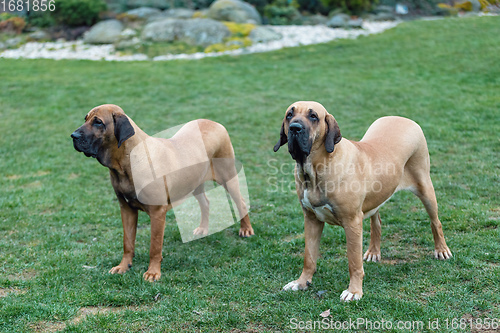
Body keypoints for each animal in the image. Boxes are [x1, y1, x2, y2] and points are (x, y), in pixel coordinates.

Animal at [70, 104, 254, 280]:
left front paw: (153, 272)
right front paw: (123, 266)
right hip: (194, 182)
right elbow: (127, 242)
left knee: (241, 202)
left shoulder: (157, 212)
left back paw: (246, 229)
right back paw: (203, 228)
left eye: (98, 122)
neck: (126, 161)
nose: (73, 136)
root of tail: (215, 123)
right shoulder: (126, 209)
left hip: (228, 176)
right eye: (85, 119)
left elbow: (155, 246)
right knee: (205, 203)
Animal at [274, 101, 454, 300]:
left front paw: (354, 291)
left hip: (425, 187)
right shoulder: (311, 219)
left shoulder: (352, 222)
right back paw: (374, 251)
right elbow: (309, 257)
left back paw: (441, 250)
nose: (294, 127)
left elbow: (353, 260)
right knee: (377, 221)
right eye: (289, 115)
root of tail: (404, 119)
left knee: (435, 221)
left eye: (313, 116)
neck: (315, 170)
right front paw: (301, 282)